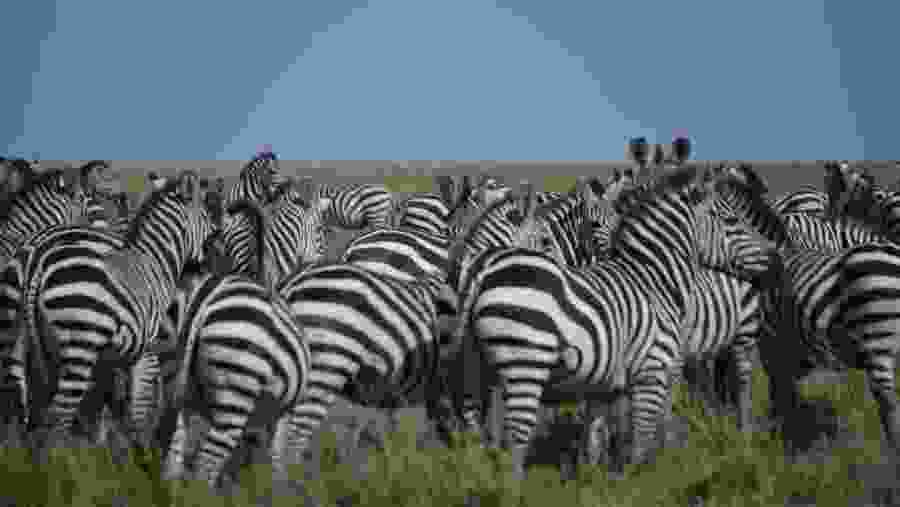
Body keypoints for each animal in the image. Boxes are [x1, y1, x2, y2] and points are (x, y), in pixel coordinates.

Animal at [21, 171, 220, 447]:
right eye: (209, 223)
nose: (210, 267)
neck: (156, 262)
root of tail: (40, 264)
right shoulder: (147, 351)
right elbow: (137, 410)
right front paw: (138, 450)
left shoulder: (109, 360)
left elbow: (107, 407)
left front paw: (102, 450)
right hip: (80, 346)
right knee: (57, 420)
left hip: (40, 350)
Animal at [448, 165, 779, 479]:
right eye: (731, 220)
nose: (774, 256)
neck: (656, 282)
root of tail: (483, 269)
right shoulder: (651, 371)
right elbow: (641, 442)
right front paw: (643, 480)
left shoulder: (605, 384)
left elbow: (597, 437)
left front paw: (596, 482)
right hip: (525, 367)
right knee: (516, 441)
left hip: (476, 369)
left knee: (479, 432)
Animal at [710, 163, 900, 460]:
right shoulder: (784, 344)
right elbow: (785, 395)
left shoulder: (771, 342)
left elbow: (780, 394)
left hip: (877, 342)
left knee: (888, 407)